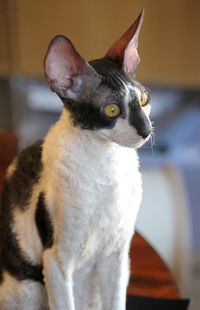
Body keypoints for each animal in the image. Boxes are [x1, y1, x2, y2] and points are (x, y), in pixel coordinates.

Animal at [0, 9, 152, 310]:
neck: (109, 166)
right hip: (28, 286)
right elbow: (63, 303)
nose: (146, 130)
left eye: (143, 99)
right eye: (112, 109)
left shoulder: (117, 254)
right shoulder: (56, 259)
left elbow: (117, 301)